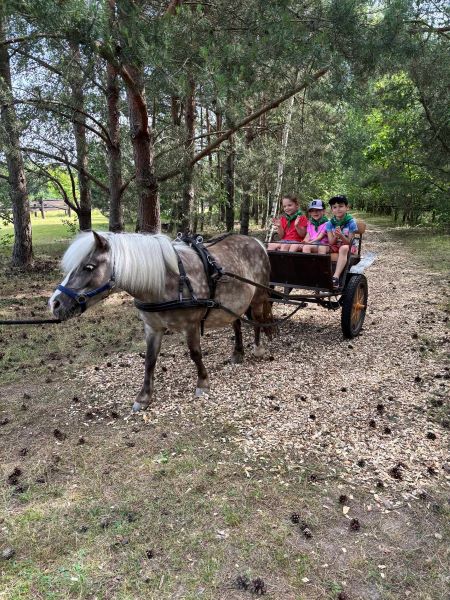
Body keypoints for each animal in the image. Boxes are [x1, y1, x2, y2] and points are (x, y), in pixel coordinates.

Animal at [49, 231, 274, 411]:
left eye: (89, 267)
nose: (54, 303)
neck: (169, 281)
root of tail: (256, 241)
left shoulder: (191, 325)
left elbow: (195, 354)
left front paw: (202, 383)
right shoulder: (152, 327)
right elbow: (150, 359)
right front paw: (144, 397)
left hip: (258, 296)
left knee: (258, 320)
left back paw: (258, 348)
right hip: (232, 304)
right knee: (236, 323)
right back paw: (238, 353)